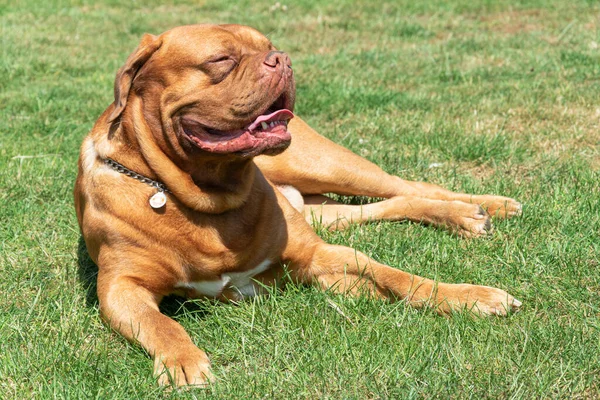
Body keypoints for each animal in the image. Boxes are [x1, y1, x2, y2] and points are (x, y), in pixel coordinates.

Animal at [75, 24, 524, 388]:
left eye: (268, 46)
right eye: (221, 59)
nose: (282, 59)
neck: (206, 198)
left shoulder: (316, 252)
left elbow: (399, 276)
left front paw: (471, 297)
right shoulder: (121, 287)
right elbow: (161, 323)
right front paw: (183, 362)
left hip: (327, 165)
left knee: (409, 183)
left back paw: (483, 207)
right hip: (323, 211)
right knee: (388, 203)